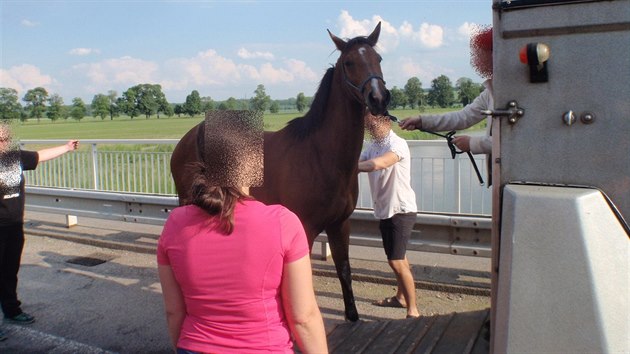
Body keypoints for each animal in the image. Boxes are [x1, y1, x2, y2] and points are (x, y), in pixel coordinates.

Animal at [170, 22, 392, 320]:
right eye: (349, 62)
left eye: (378, 58)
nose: (379, 98)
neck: (320, 154)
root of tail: (189, 137)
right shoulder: (306, 228)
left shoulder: (340, 224)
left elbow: (344, 271)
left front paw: (353, 316)